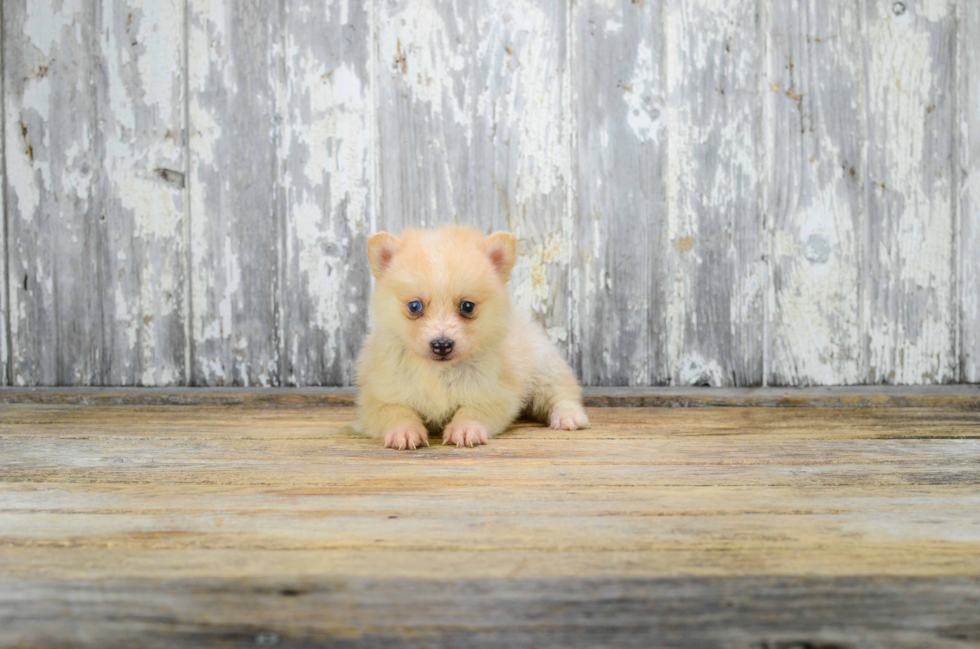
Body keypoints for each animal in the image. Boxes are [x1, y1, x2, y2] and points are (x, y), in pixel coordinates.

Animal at [356, 225, 584, 448]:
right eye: (414, 306)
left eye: (467, 306)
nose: (441, 345)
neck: (439, 372)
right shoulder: (379, 397)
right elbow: (395, 412)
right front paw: (404, 431)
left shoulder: (492, 393)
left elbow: (473, 410)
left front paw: (465, 429)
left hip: (544, 368)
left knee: (562, 393)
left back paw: (568, 416)